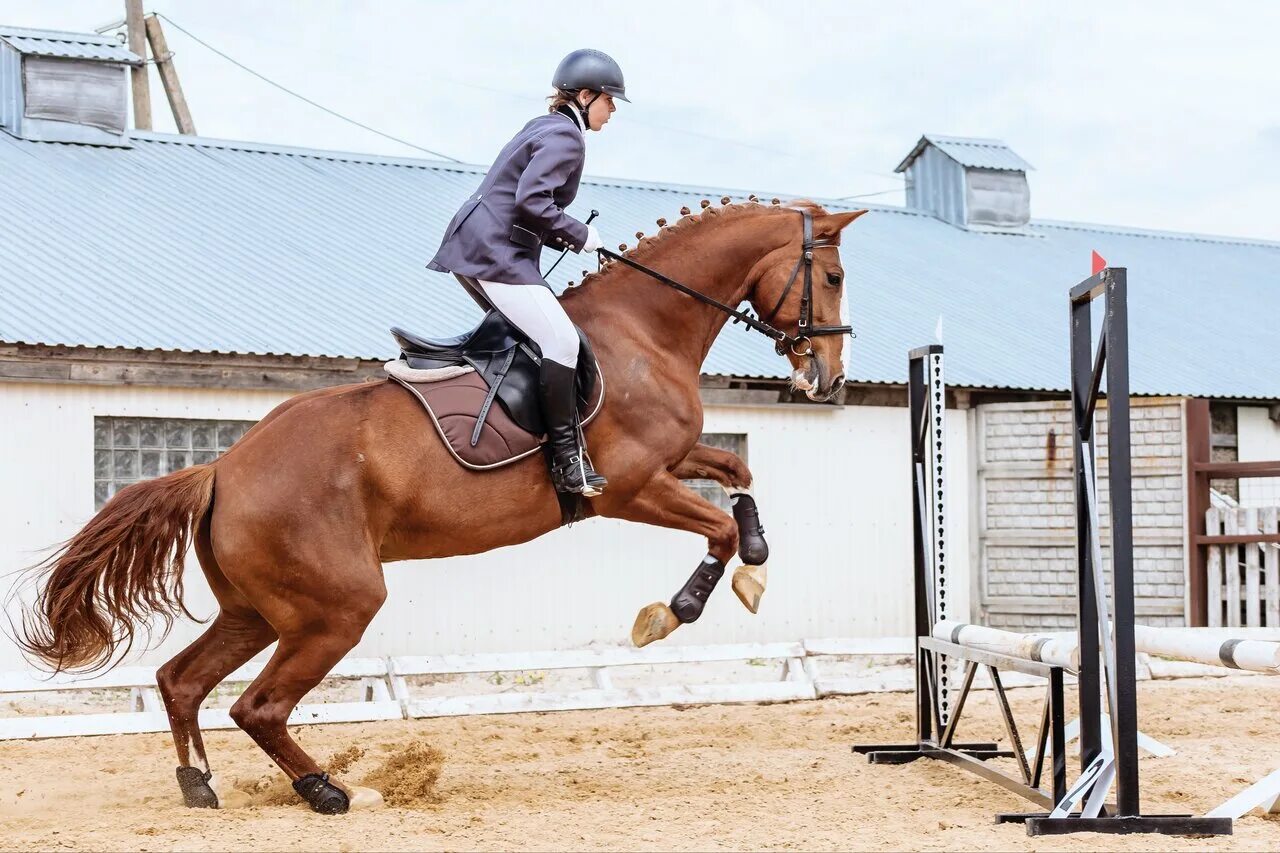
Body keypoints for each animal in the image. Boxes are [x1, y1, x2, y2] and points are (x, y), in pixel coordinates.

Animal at [15, 197, 865, 809]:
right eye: (831, 278)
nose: (827, 379)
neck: (644, 330)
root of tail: (223, 467)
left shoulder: (674, 461)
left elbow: (737, 475)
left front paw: (753, 568)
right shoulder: (630, 486)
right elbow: (717, 524)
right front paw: (676, 609)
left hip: (259, 609)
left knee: (183, 681)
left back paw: (200, 784)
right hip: (336, 607)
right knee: (256, 704)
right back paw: (328, 790)